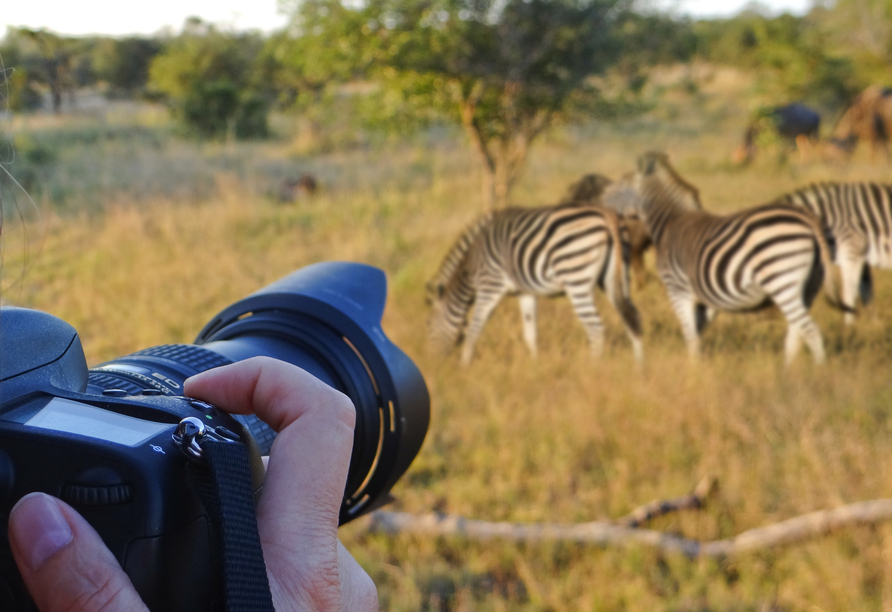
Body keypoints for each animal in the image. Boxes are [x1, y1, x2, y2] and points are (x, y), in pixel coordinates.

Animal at [426, 202, 640, 364]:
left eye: (429, 327)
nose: (434, 363)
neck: (472, 264)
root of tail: (608, 215)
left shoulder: (490, 286)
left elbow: (475, 328)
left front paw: (465, 366)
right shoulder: (525, 293)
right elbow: (530, 334)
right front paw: (534, 365)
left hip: (576, 277)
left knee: (595, 328)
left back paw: (593, 367)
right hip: (616, 278)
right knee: (633, 318)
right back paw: (639, 371)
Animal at [620, 152, 844, 364]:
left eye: (621, 182)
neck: (671, 221)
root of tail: (809, 218)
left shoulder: (678, 289)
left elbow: (690, 334)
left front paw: (693, 369)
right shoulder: (707, 297)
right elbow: (698, 331)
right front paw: (698, 365)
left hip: (781, 278)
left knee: (810, 331)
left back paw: (814, 373)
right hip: (809, 286)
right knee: (796, 333)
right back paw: (787, 372)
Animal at [772, 182, 892, 326]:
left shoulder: (852, 252)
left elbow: (849, 295)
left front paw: (849, 328)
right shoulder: (861, 257)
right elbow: (867, 296)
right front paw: (875, 327)